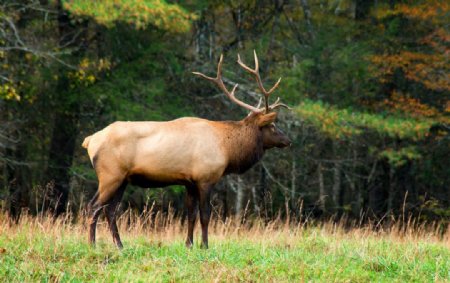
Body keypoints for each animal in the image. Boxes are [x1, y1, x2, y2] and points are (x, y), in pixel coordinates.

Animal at [82, 51, 290, 251]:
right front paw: (204, 245)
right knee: (94, 206)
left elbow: (191, 214)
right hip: (110, 175)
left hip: (122, 179)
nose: (287, 140)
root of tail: (90, 141)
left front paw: (189, 244)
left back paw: (119, 245)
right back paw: (92, 245)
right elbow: (205, 214)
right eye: (272, 126)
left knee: (110, 210)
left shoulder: (190, 182)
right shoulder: (206, 178)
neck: (227, 149)